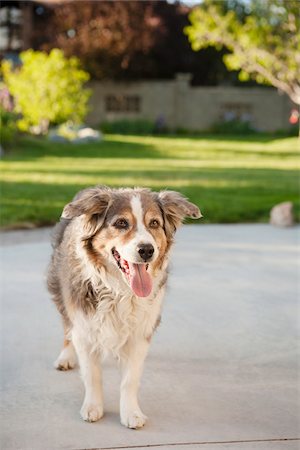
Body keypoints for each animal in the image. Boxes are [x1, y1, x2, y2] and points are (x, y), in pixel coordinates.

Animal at [47, 186, 202, 428]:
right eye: (121, 223)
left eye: (154, 223)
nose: (147, 250)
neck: (119, 290)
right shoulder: (84, 325)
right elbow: (92, 374)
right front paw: (93, 407)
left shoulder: (140, 332)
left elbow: (130, 379)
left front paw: (131, 413)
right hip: (62, 291)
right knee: (66, 327)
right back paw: (66, 356)